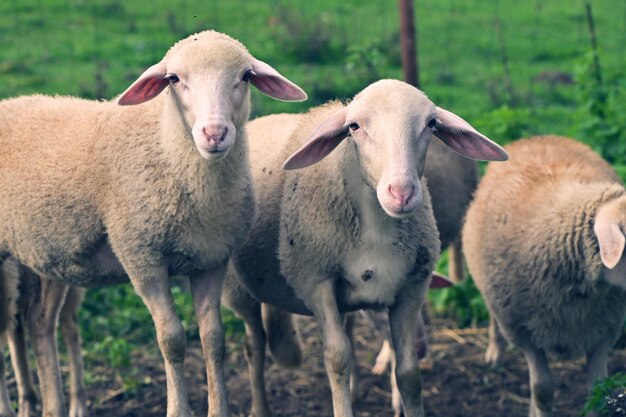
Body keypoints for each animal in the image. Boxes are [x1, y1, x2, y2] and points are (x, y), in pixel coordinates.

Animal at [0, 29, 304, 416]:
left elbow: (213, 339)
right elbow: (172, 340)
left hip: (50, 255)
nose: (215, 133)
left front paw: (218, 408)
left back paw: (54, 406)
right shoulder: (142, 257)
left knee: (40, 324)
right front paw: (178, 409)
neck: (166, 148)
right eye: (174, 79)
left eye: (246, 76)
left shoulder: (211, 259)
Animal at [222, 79, 504, 416]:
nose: (401, 192)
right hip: (240, 289)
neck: (375, 232)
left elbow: (409, 372)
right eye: (354, 126)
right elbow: (337, 361)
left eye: (431, 124)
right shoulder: (317, 282)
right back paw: (260, 406)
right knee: (254, 346)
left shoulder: (410, 286)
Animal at [460, 135, 624, 414]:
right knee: (492, 316)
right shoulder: (523, 330)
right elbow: (542, 391)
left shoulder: (603, 329)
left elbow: (597, 391)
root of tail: (533, 138)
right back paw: (495, 353)